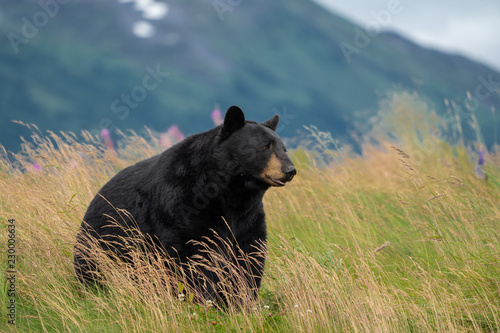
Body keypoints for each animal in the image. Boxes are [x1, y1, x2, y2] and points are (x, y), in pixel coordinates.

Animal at [74, 105, 296, 302]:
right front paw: (199, 300)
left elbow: (247, 258)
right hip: (102, 245)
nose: (290, 170)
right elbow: (192, 256)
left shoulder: (248, 217)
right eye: (265, 146)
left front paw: (241, 303)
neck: (230, 191)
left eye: (283, 148)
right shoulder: (184, 205)